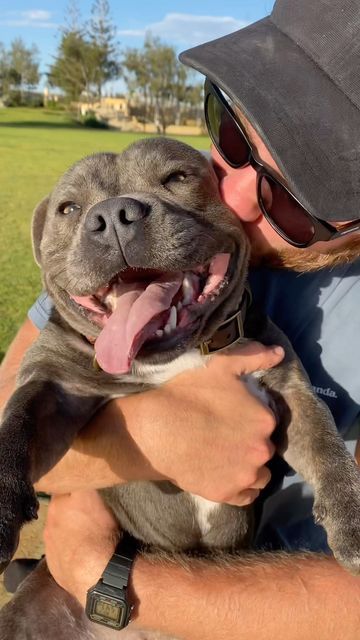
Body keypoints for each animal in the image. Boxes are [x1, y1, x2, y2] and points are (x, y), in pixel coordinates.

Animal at [0, 136, 360, 640]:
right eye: (69, 208)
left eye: (178, 177)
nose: (112, 215)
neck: (174, 357)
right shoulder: (52, 384)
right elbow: (17, 419)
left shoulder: (290, 389)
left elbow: (325, 443)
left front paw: (353, 517)